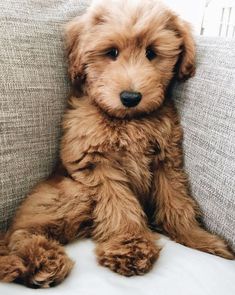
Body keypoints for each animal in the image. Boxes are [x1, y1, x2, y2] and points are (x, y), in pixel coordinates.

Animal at [0, 0, 233, 290]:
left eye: (151, 53)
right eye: (111, 52)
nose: (130, 97)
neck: (128, 120)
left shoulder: (166, 160)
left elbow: (176, 202)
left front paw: (197, 237)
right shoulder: (98, 165)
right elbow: (120, 207)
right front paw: (129, 245)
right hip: (71, 195)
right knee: (18, 235)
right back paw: (40, 261)